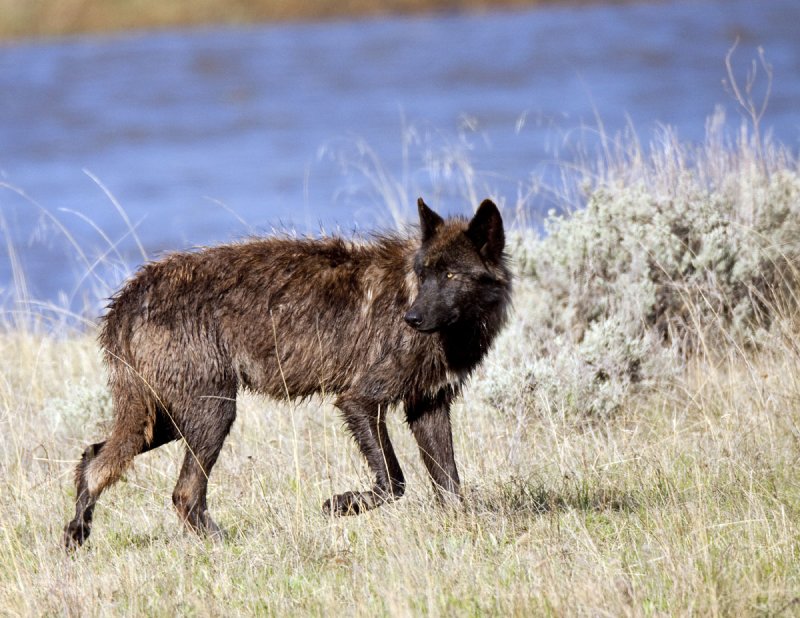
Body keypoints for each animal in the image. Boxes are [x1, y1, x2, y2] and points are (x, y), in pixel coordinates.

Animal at [62, 195, 512, 548]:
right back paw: (224, 546)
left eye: (450, 275)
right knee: (182, 492)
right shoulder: (359, 401)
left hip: (168, 421)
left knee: (93, 459)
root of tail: (126, 299)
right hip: (210, 415)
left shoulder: (428, 408)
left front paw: (462, 535)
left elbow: (449, 485)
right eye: (423, 273)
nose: (412, 319)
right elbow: (393, 482)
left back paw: (76, 534)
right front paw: (341, 505)